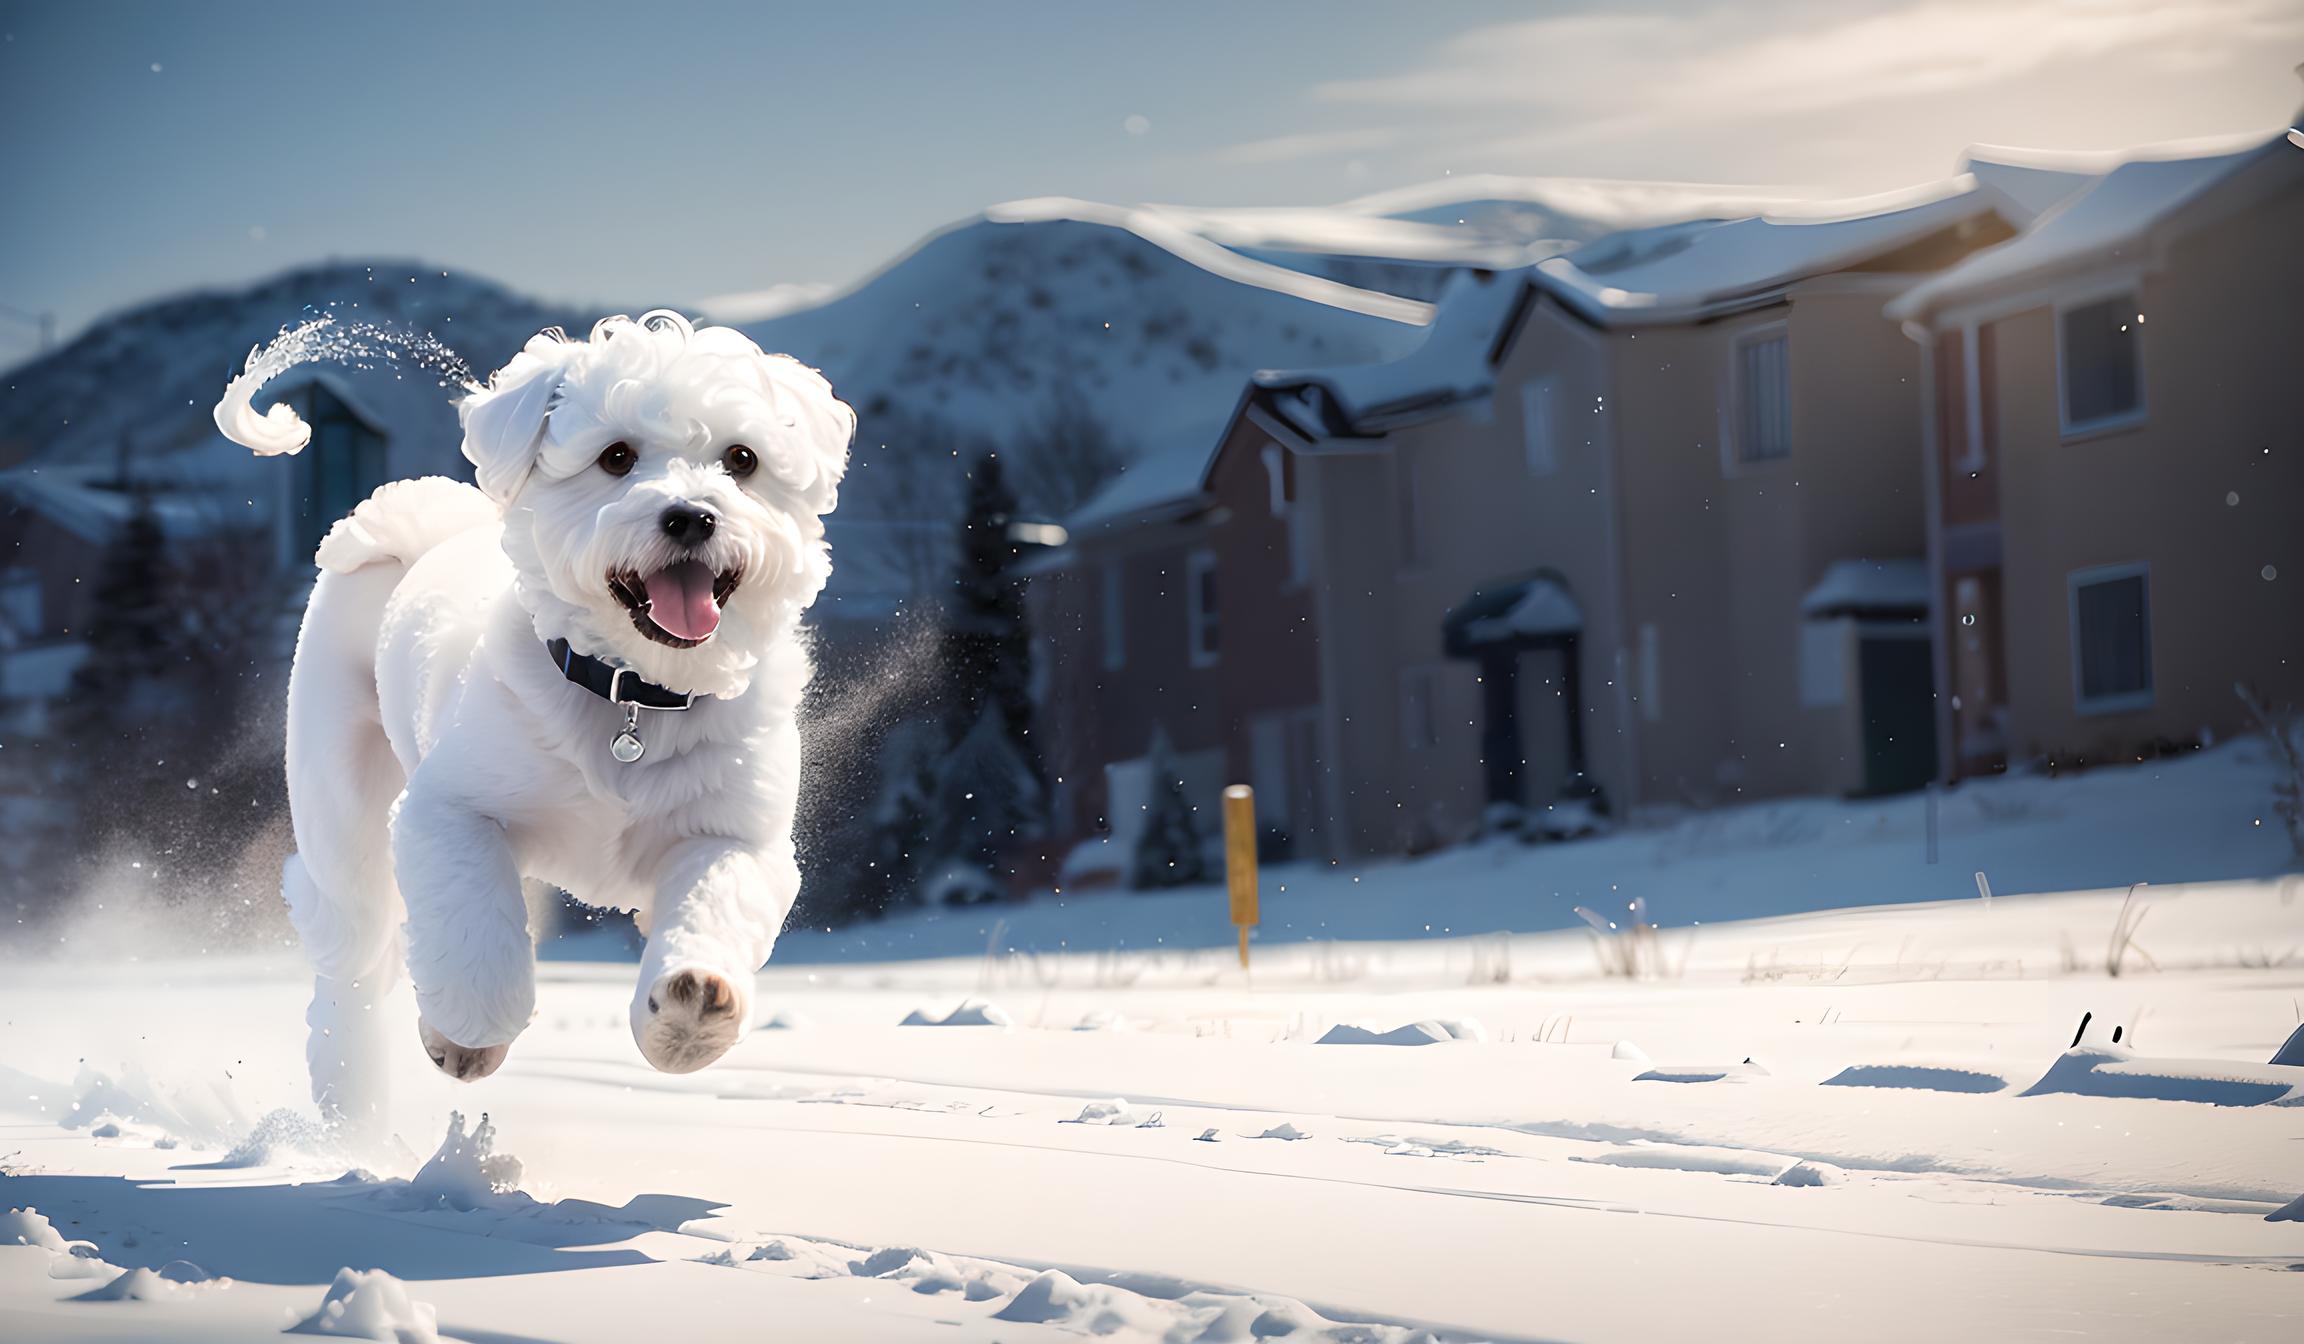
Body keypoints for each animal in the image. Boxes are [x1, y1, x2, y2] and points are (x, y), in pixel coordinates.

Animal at [233, 315, 852, 1124]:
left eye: (742, 459)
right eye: (616, 457)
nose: (690, 516)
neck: (633, 698)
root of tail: (413, 527)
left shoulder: (734, 837)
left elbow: (712, 908)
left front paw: (689, 1012)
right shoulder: (448, 811)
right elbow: (474, 923)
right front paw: (467, 1032)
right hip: (343, 810)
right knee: (354, 958)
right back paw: (351, 1102)